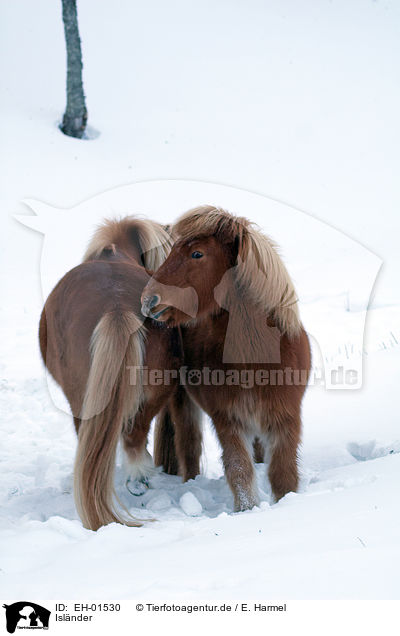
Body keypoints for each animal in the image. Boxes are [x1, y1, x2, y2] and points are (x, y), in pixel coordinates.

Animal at [144, 206, 312, 516]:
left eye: (197, 254)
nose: (148, 300)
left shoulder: (285, 419)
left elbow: (283, 474)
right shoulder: (228, 420)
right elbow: (239, 469)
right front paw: (247, 510)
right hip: (184, 404)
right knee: (189, 446)